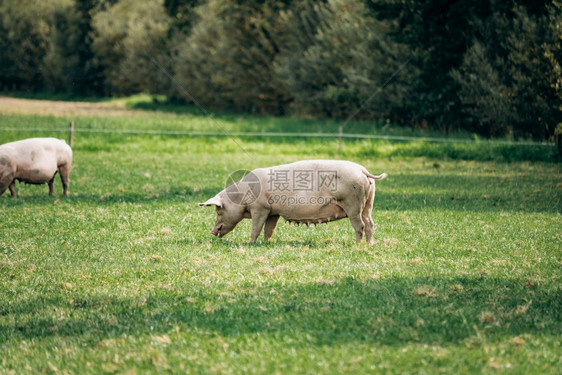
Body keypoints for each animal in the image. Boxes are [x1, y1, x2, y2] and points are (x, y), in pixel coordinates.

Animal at [198, 160, 384, 245]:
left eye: (218, 210)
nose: (212, 232)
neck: (241, 196)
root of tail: (363, 170)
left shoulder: (260, 208)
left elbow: (256, 227)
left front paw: (250, 243)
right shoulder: (273, 212)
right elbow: (269, 229)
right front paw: (267, 243)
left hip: (353, 203)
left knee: (360, 225)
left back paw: (357, 245)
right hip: (368, 203)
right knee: (370, 223)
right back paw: (370, 244)